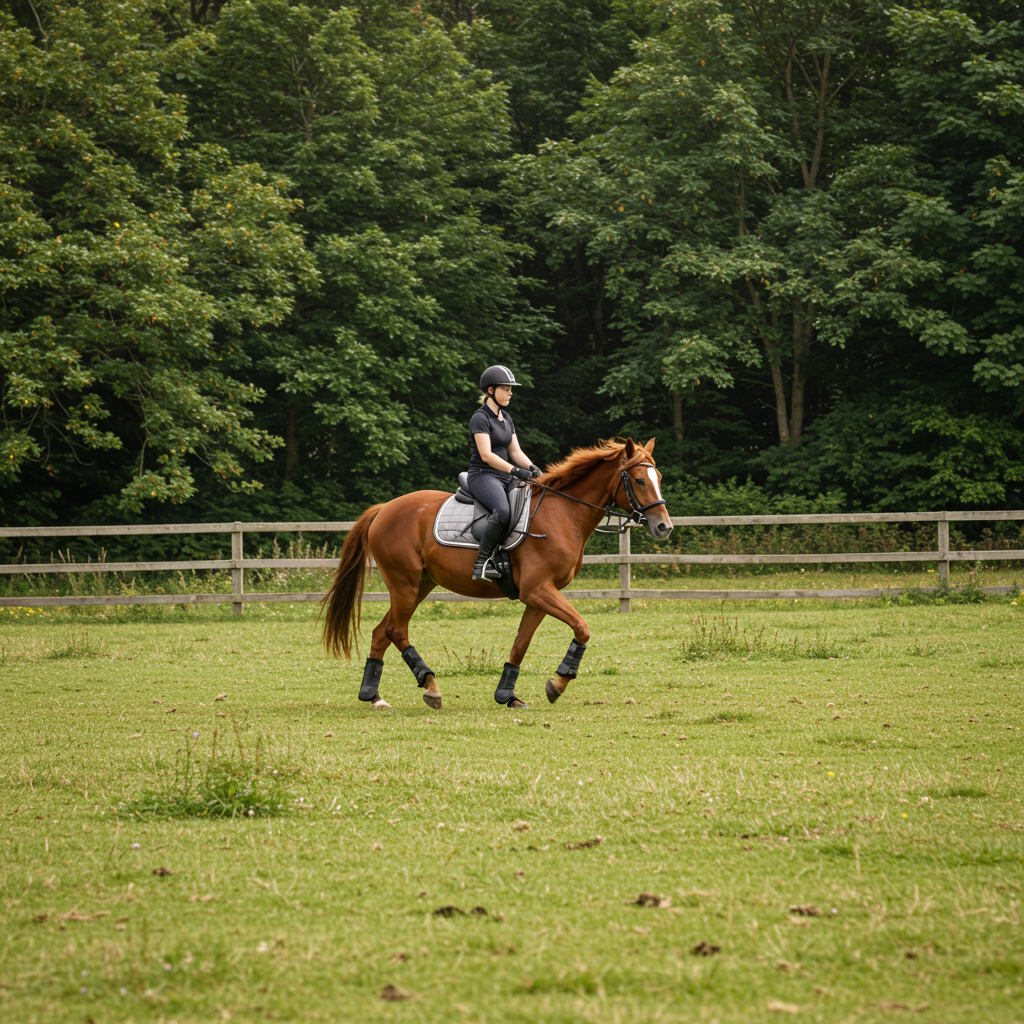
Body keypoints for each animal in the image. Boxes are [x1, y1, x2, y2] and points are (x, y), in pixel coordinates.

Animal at [320, 437, 673, 709]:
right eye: (640, 480)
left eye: (658, 478)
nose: (664, 527)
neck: (562, 513)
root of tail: (384, 509)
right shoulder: (539, 591)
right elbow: (582, 628)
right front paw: (558, 683)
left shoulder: (537, 597)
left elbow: (520, 644)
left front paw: (508, 695)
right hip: (404, 585)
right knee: (396, 631)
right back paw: (430, 686)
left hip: (420, 585)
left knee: (382, 632)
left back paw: (373, 695)